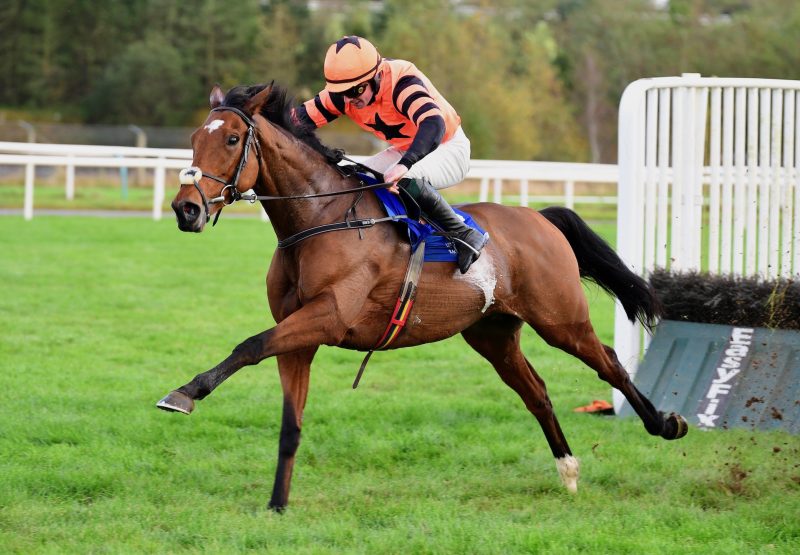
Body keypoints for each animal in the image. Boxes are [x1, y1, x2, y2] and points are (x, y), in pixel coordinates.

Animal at [156, 82, 688, 512]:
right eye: (195, 139)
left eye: (231, 139)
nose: (186, 209)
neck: (319, 220)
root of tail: (539, 218)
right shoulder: (298, 338)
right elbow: (290, 421)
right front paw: (277, 504)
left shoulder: (327, 317)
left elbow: (247, 345)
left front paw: (184, 393)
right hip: (493, 334)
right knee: (536, 392)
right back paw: (569, 471)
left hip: (562, 319)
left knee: (610, 364)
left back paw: (664, 424)